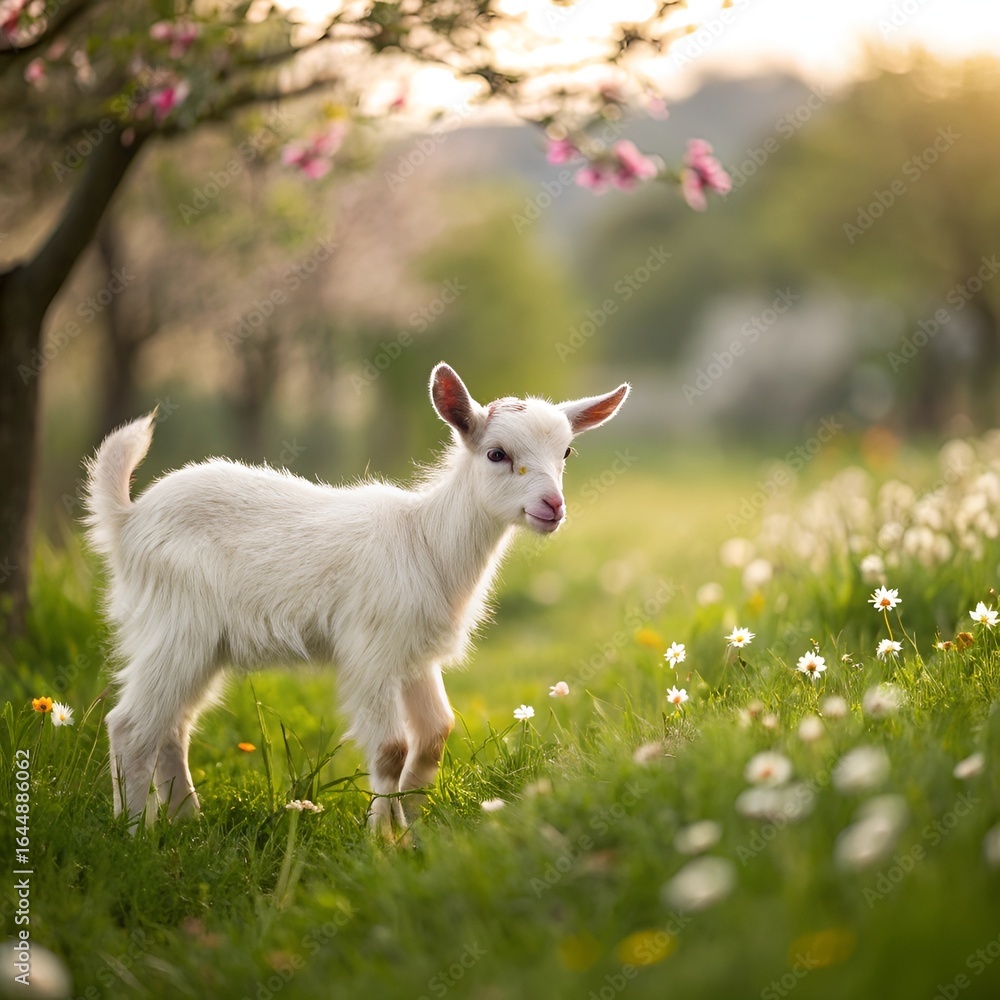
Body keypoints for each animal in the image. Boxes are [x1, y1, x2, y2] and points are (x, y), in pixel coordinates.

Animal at [84, 363, 629, 829]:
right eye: (497, 453)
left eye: (566, 453)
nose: (552, 506)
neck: (426, 540)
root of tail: (127, 521)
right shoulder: (371, 651)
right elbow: (391, 748)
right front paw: (381, 837)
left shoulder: (416, 655)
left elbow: (434, 735)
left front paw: (412, 821)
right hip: (177, 625)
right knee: (131, 726)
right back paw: (135, 833)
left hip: (200, 643)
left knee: (173, 727)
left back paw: (185, 822)